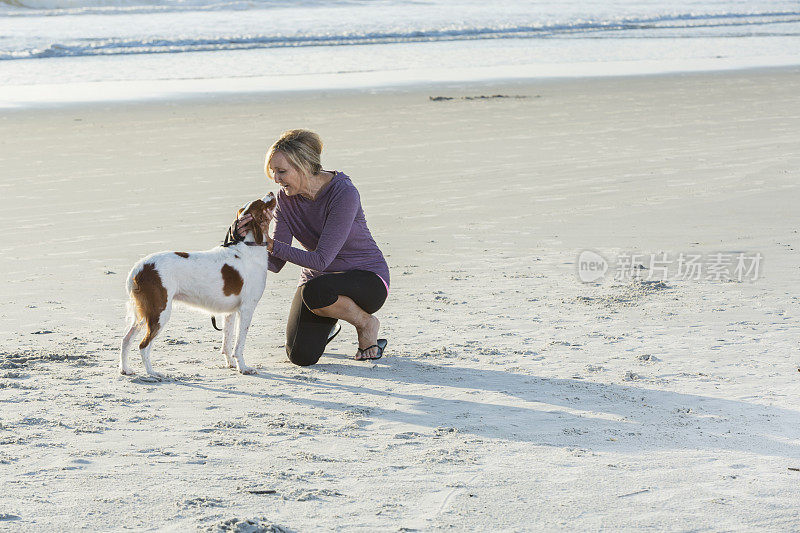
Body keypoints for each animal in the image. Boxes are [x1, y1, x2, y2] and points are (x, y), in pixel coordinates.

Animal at [120, 193, 276, 376]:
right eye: (262, 202)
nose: (271, 193)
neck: (248, 247)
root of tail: (139, 268)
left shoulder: (229, 312)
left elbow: (226, 343)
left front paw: (230, 364)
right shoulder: (246, 309)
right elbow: (239, 346)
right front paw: (243, 367)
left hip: (145, 314)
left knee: (125, 340)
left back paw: (125, 369)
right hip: (159, 312)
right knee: (143, 346)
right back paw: (152, 373)